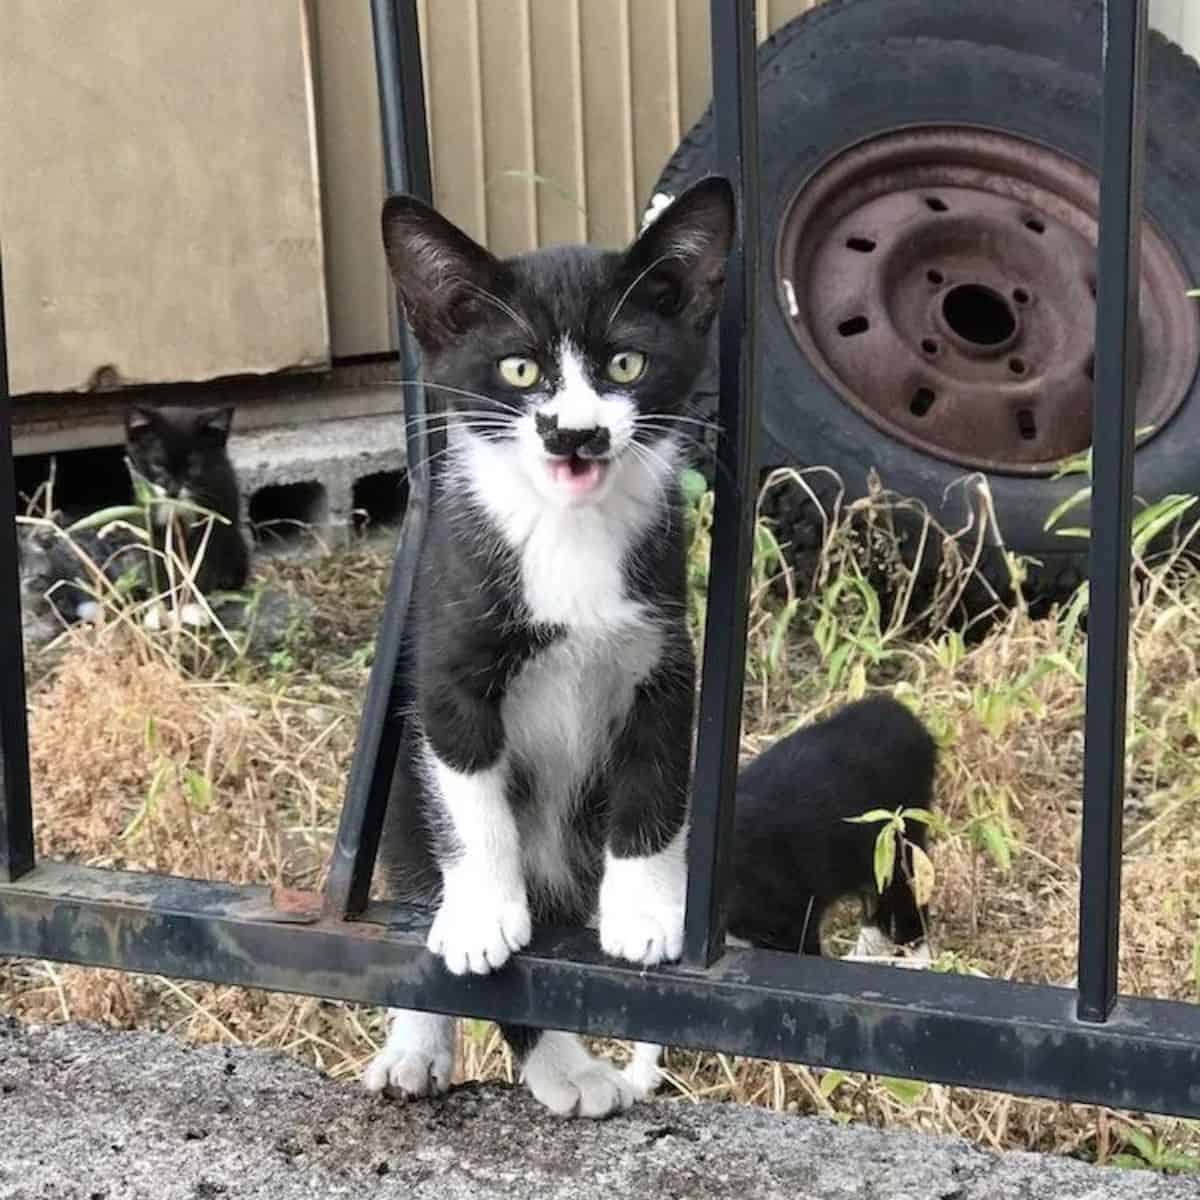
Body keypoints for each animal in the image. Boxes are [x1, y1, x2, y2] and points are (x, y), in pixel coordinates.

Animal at [360, 175, 734, 1113]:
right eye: (521, 370)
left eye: (626, 365)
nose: (576, 432)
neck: (567, 533)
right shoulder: (448, 666)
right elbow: (471, 801)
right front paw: (483, 914)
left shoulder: (663, 658)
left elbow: (653, 789)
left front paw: (646, 912)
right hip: (400, 809)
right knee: (417, 871)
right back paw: (447, 1051)